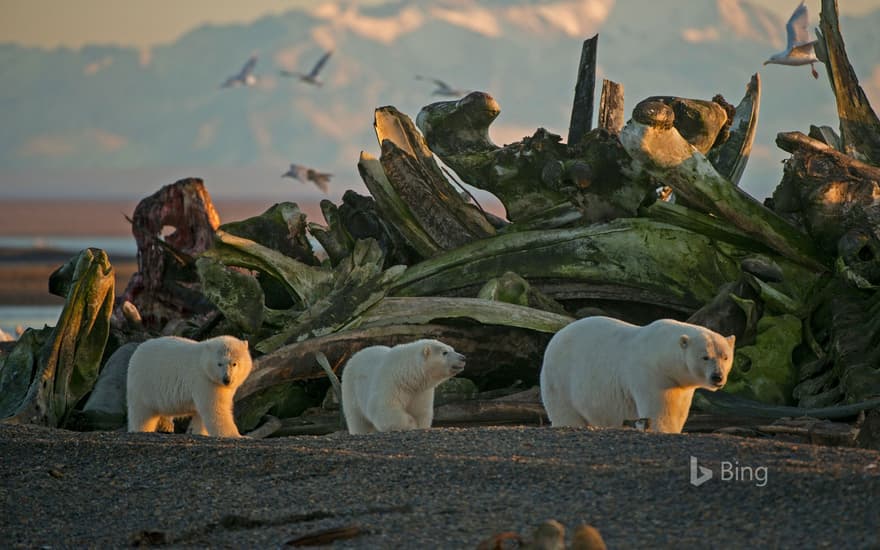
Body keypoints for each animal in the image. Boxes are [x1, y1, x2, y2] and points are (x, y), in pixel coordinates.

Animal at [125, 336, 253, 440]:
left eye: (234, 363)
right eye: (219, 364)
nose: (226, 379)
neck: (202, 360)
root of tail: (136, 352)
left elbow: (201, 414)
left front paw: (198, 432)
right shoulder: (204, 379)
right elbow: (215, 408)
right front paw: (238, 436)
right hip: (144, 383)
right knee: (141, 414)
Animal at [340, 340, 468, 436]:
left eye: (452, 349)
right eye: (444, 352)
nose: (463, 358)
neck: (406, 374)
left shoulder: (421, 391)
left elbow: (421, 410)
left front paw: (419, 425)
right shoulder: (390, 383)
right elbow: (384, 409)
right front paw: (412, 423)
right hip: (351, 388)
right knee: (357, 418)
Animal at [536, 320, 736, 436]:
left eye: (725, 357)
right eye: (705, 357)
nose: (717, 377)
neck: (662, 354)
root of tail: (556, 336)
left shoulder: (679, 384)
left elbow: (679, 410)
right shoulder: (651, 374)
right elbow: (660, 411)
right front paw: (664, 429)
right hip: (560, 375)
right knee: (565, 410)